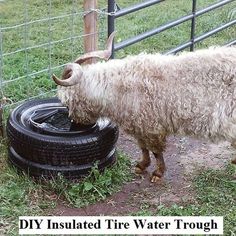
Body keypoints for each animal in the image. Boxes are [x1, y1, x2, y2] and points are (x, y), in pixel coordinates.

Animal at [52, 32, 236, 182]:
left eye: (67, 103)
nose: (74, 125)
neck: (118, 87)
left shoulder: (152, 125)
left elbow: (155, 150)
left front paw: (158, 173)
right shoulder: (139, 125)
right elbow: (143, 147)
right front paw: (142, 165)